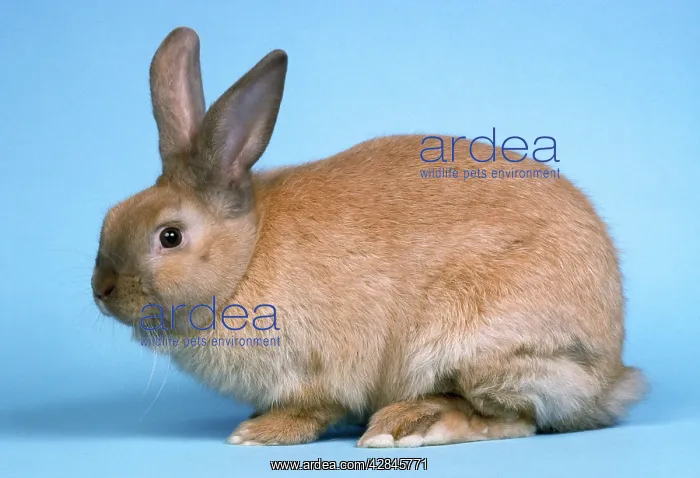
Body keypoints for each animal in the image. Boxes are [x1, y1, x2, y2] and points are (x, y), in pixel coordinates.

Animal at [91, 26, 647, 447]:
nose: (102, 290)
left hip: (482, 349)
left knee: (514, 419)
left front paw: (258, 434)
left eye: (169, 236)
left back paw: (404, 427)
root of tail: (610, 376)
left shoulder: (317, 369)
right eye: (111, 215)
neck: (246, 258)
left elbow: (312, 408)